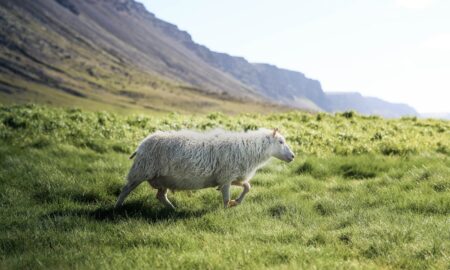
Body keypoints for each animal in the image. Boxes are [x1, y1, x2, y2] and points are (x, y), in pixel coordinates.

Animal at [114, 127, 294, 208]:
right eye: (280, 142)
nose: (293, 156)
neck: (250, 149)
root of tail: (141, 145)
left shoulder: (229, 177)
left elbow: (247, 187)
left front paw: (237, 202)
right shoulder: (226, 177)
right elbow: (226, 198)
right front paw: (226, 210)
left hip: (161, 179)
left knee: (160, 196)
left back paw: (173, 209)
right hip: (141, 171)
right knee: (125, 189)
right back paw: (117, 208)